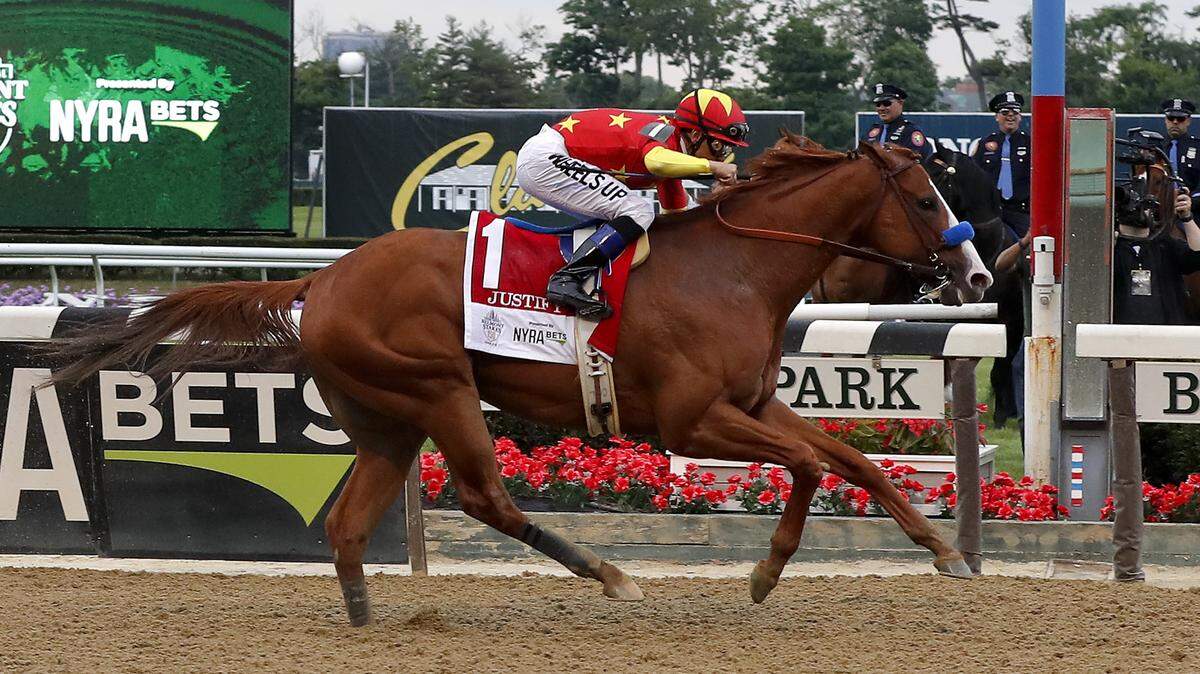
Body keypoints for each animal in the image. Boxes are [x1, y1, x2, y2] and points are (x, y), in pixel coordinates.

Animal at [48, 135, 992, 626]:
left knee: (350, 526)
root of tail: (325, 278)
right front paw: (764, 572)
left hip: (385, 421)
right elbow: (806, 466)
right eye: (925, 198)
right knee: (484, 497)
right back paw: (608, 573)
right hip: (439, 390)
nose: (979, 275)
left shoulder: (754, 402)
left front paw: (947, 553)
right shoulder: (691, 422)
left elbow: (852, 461)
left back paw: (365, 619)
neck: (733, 268)